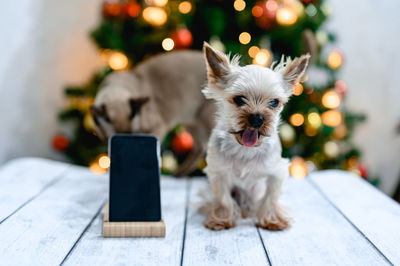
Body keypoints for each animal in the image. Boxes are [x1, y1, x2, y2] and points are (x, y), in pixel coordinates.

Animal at [203, 42, 310, 230]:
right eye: (239, 99)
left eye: (274, 102)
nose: (257, 118)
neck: (245, 148)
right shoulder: (217, 172)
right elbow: (223, 199)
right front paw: (222, 219)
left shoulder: (277, 172)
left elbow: (271, 198)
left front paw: (272, 220)